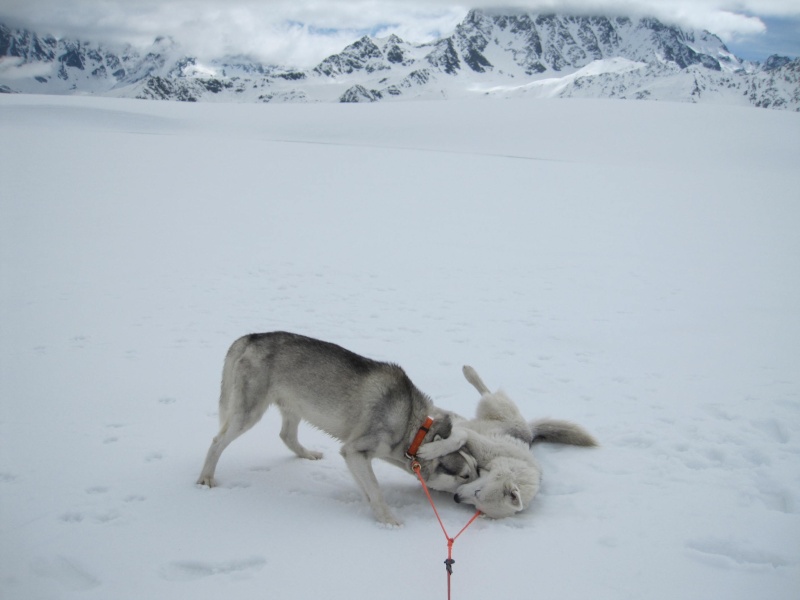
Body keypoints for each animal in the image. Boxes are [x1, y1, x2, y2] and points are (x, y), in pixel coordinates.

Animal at [197, 332, 476, 524]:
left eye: (477, 470)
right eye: (464, 476)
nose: (476, 493)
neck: (413, 428)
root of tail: (252, 337)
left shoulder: (357, 457)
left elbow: (368, 489)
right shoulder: (355, 451)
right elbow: (376, 490)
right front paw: (388, 520)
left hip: (295, 406)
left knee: (286, 435)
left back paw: (306, 454)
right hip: (248, 413)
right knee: (216, 441)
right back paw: (206, 477)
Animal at [418, 366, 592, 520]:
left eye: (477, 506)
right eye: (477, 492)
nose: (456, 498)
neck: (506, 461)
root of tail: (529, 431)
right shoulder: (476, 440)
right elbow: (458, 438)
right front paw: (431, 450)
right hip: (493, 407)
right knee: (486, 392)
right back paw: (468, 371)